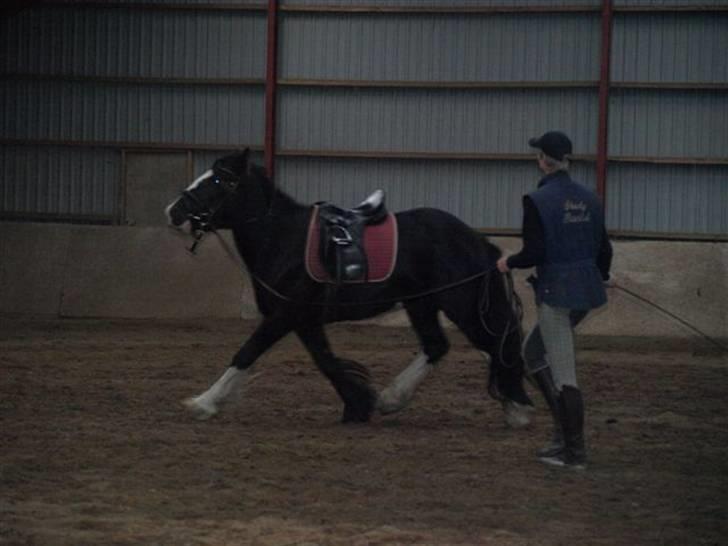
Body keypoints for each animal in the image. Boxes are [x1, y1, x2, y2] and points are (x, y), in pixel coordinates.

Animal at [166, 149, 528, 424]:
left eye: (218, 180)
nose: (174, 211)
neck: (284, 239)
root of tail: (476, 239)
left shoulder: (285, 314)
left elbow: (247, 352)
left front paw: (203, 402)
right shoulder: (305, 320)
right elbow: (326, 361)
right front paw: (359, 403)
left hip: (461, 303)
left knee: (495, 342)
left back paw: (517, 409)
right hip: (421, 304)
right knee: (438, 345)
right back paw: (392, 398)